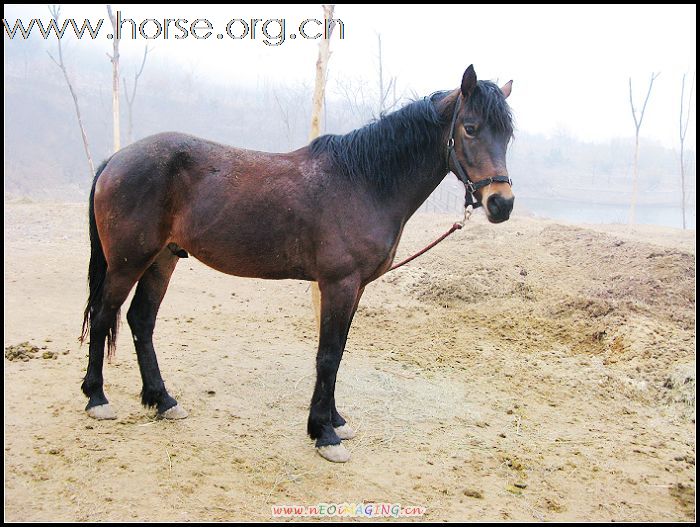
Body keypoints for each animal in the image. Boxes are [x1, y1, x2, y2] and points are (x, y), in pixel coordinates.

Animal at [80, 65, 516, 462]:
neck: (364, 182)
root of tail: (115, 160)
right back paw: (97, 398)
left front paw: (336, 421)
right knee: (103, 316)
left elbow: (338, 353)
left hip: (162, 259)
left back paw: (162, 400)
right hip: (128, 262)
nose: (501, 203)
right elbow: (327, 355)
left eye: (507, 134)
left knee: (141, 320)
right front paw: (324, 434)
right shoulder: (339, 284)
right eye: (471, 128)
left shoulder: (356, 287)